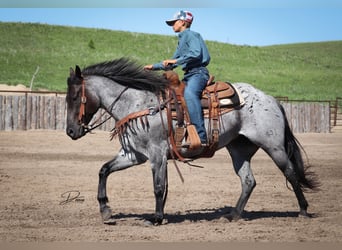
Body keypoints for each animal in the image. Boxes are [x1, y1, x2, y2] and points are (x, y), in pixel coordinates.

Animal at [66, 57, 318, 225]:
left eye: (76, 97)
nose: (70, 131)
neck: (139, 104)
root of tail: (271, 99)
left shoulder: (157, 154)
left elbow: (158, 186)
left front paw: (157, 218)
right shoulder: (133, 154)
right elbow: (104, 170)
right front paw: (105, 210)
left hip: (273, 146)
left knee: (290, 172)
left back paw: (303, 211)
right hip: (239, 149)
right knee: (248, 181)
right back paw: (234, 215)